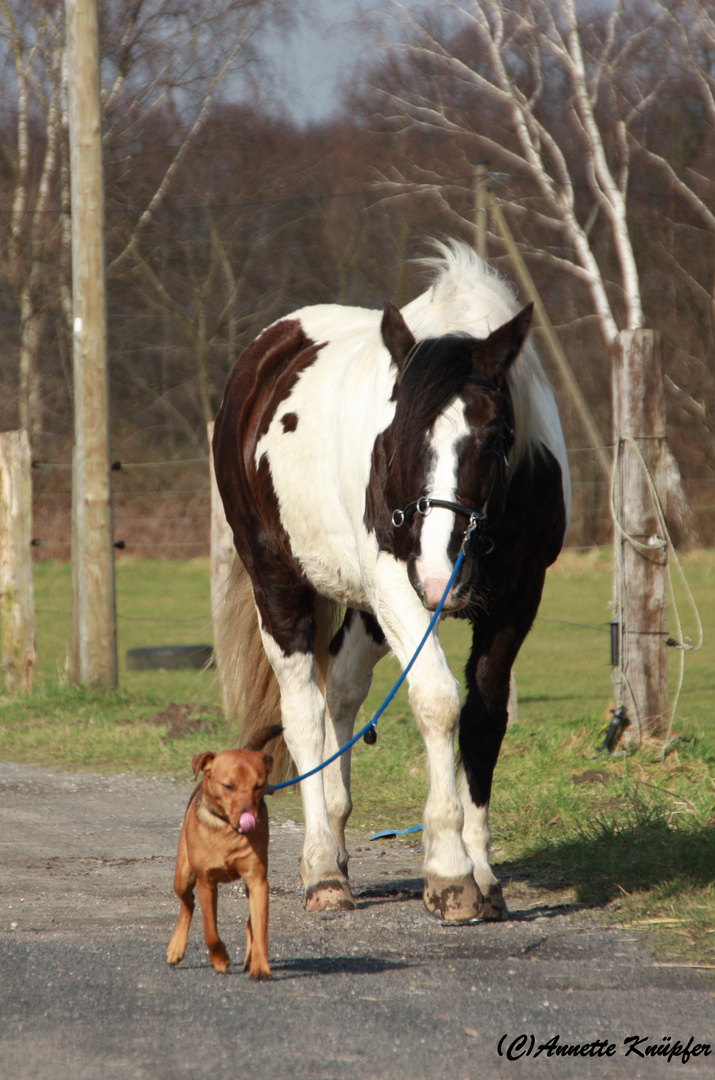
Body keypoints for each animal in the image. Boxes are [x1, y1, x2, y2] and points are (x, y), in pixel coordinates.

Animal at [166, 725, 280, 980]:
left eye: (259, 786)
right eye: (228, 786)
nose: (249, 818)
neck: (228, 830)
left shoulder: (258, 880)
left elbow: (261, 929)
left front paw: (260, 965)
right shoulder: (205, 881)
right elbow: (210, 930)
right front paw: (219, 959)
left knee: (250, 922)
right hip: (183, 875)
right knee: (187, 903)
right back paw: (176, 947)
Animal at [212, 240, 570, 924]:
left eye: (498, 436)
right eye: (399, 432)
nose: (438, 573)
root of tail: (266, 350)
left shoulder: (519, 599)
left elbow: (483, 719)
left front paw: (483, 873)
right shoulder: (396, 588)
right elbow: (435, 699)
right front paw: (449, 872)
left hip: (366, 613)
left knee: (343, 696)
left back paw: (333, 845)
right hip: (281, 584)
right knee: (304, 715)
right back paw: (324, 872)